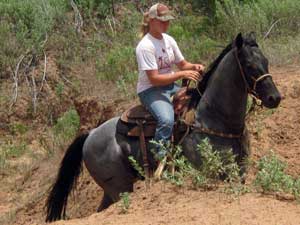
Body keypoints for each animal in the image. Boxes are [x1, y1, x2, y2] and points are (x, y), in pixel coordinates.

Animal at [44, 32, 282, 222]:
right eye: (249, 65)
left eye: (266, 60)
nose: (275, 98)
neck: (214, 119)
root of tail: (91, 133)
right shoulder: (208, 176)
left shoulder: (238, 174)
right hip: (119, 188)